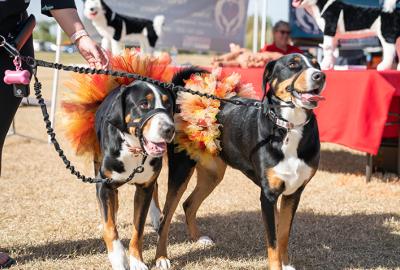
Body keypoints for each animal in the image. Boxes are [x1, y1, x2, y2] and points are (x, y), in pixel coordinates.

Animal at [94, 80, 176, 270]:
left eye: (168, 104)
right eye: (144, 104)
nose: (169, 129)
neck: (134, 150)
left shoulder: (144, 188)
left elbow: (138, 230)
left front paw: (137, 261)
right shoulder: (103, 184)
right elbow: (110, 227)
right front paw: (118, 259)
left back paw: (157, 217)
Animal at [153, 53, 324, 270]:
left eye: (317, 64)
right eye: (293, 64)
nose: (320, 76)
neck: (289, 127)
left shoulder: (294, 193)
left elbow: (283, 234)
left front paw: (286, 265)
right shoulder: (268, 196)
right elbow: (273, 241)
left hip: (213, 174)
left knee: (189, 204)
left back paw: (197, 239)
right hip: (180, 170)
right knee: (165, 218)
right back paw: (161, 258)